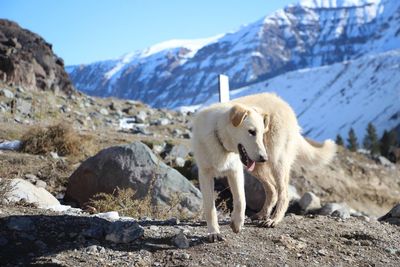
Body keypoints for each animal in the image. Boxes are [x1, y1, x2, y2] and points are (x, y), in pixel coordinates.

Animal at [192, 92, 336, 243]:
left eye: (261, 133)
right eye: (251, 131)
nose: (263, 157)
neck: (220, 141)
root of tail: (283, 103)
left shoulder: (235, 171)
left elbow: (241, 200)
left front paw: (237, 223)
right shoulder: (205, 174)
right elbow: (210, 207)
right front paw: (214, 232)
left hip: (276, 162)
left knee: (284, 193)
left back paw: (274, 219)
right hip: (257, 167)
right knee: (272, 190)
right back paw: (262, 214)